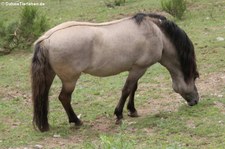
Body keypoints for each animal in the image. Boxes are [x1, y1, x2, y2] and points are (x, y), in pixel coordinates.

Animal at [31, 12, 199, 132]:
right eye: (195, 76)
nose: (196, 101)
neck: (156, 33)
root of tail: (47, 39)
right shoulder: (140, 68)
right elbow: (126, 90)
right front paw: (119, 115)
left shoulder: (136, 68)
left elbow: (133, 88)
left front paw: (132, 110)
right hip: (70, 80)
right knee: (64, 98)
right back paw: (76, 121)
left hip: (50, 76)